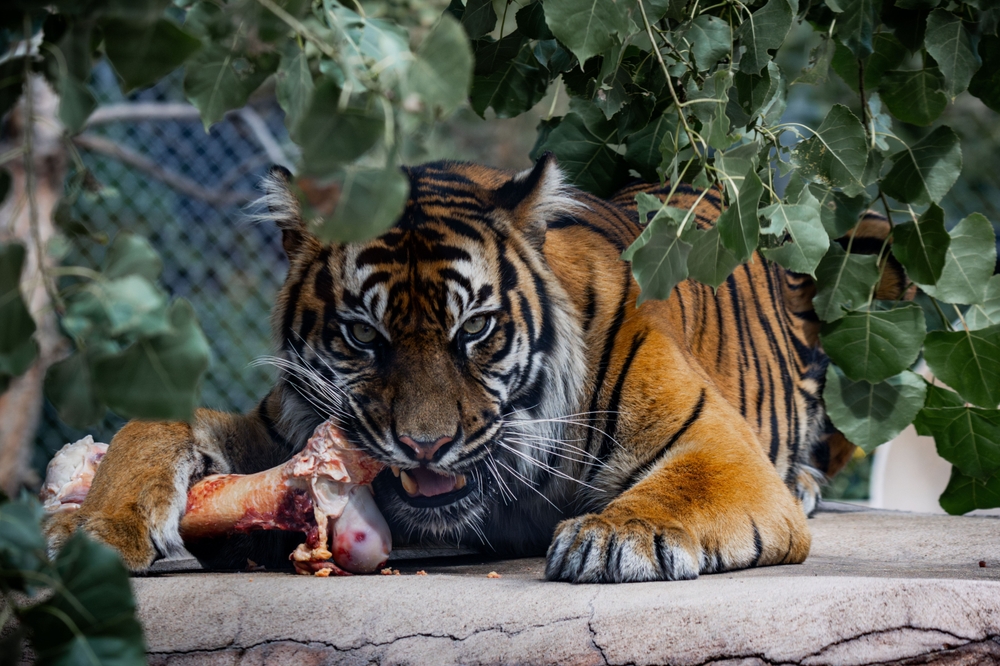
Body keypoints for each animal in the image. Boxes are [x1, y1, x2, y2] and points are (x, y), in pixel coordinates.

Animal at [47, 156, 876, 580]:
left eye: (474, 329)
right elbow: (158, 423)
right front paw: (94, 526)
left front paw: (615, 536)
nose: (425, 445)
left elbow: (676, 487)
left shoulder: (715, 447)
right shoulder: (284, 429)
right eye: (362, 335)